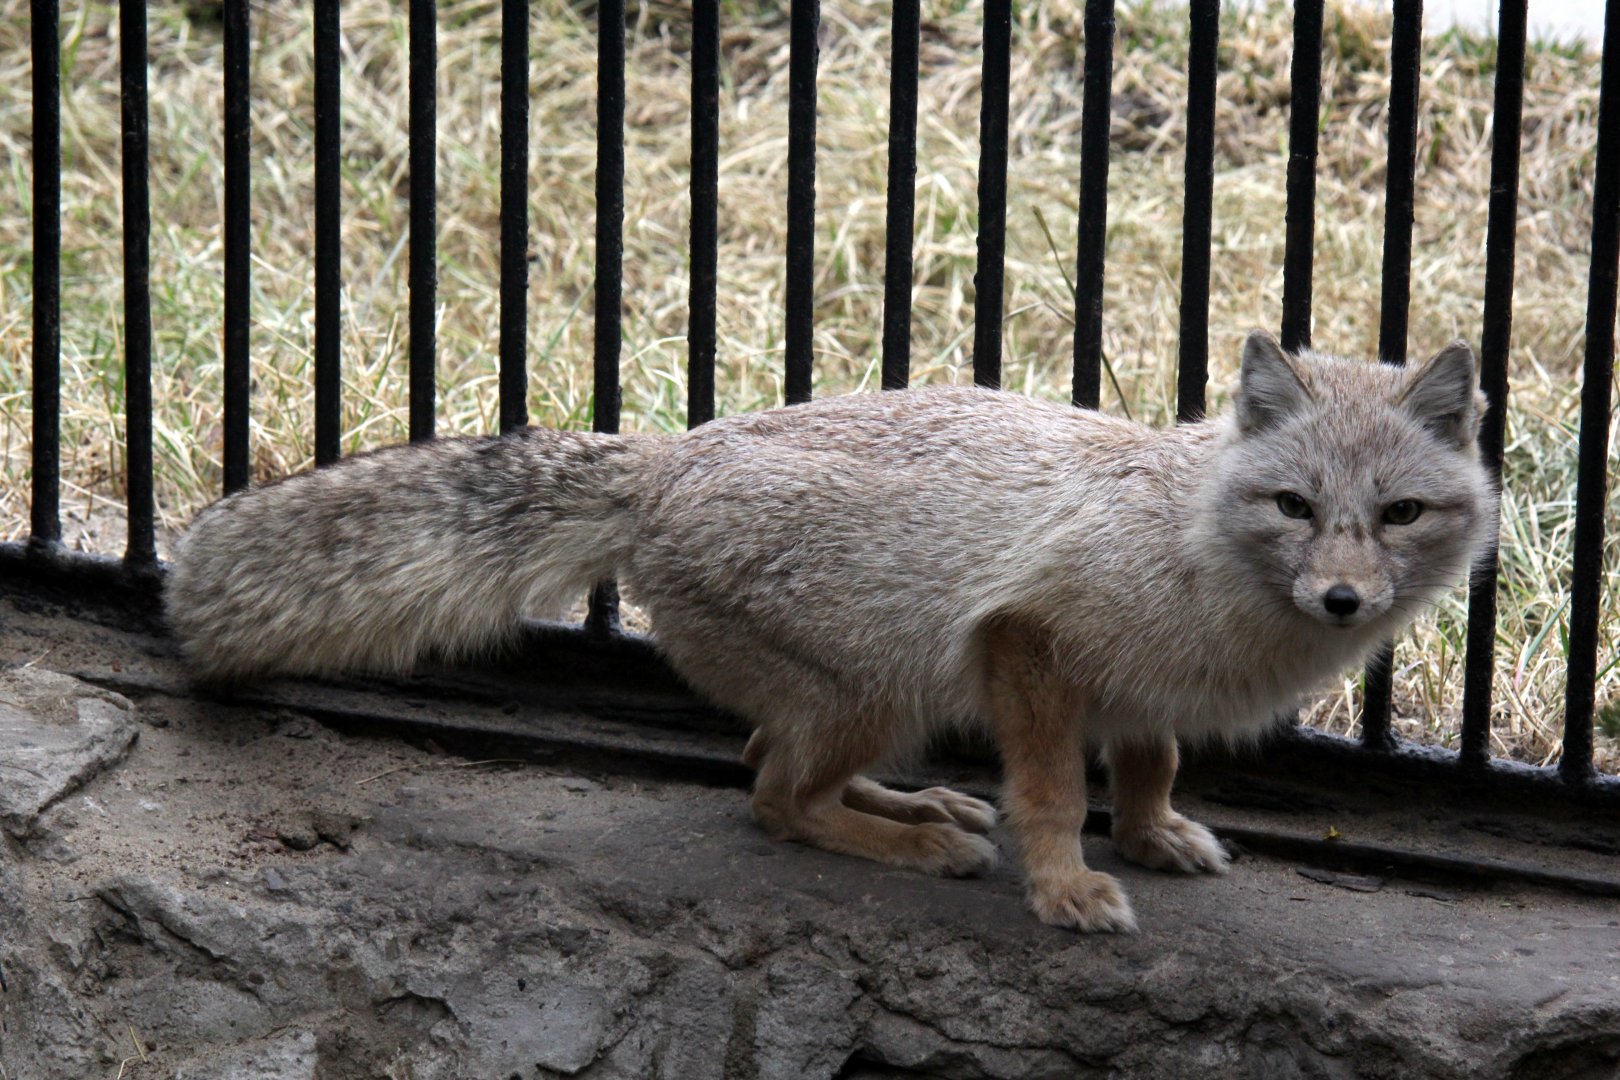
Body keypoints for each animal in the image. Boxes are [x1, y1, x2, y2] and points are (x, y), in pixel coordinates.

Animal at [166, 330, 1496, 932]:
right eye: (1295, 508)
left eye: (1397, 514)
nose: (1343, 599)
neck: (1195, 536)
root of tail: (668, 458)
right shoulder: (1029, 644)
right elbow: (1054, 793)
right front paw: (1067, 885)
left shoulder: (1140, 696)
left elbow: (1153, 767)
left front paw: (1154, 833)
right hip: (891, 688)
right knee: (772, 800)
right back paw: (917, 843)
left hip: (875, 703)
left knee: (768, 759)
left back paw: (922, 807)